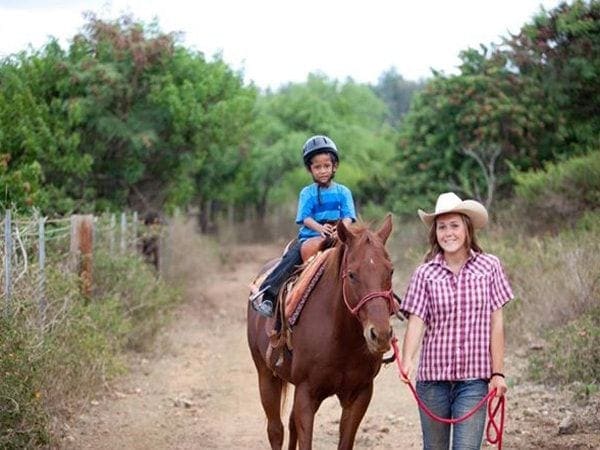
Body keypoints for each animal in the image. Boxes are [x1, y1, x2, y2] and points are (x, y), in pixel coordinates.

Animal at [246, 216, 396, 448]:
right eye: (352, 274)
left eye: (390, 271)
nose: (380, 335)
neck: (341, 337)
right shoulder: (306, 394)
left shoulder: (360, 395)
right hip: (265, 374)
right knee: (276, 430)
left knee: (290, 424)